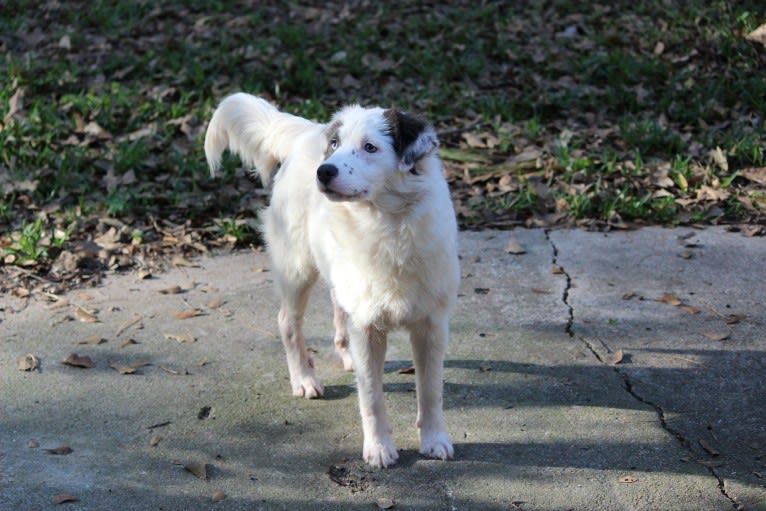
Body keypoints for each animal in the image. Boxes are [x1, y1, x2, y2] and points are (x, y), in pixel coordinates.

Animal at [202, 93, 462, 468]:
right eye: (336, 145)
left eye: (370, 147)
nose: (324, 171)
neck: (388, 226)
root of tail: (307, 133)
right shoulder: (367, 327)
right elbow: (371, 397)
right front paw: (379, 447)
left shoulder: (432, 325)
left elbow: (430, 392)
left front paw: (434, 439)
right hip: (296, 270)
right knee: (288, 322)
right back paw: (304, 378)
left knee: (339, 307)